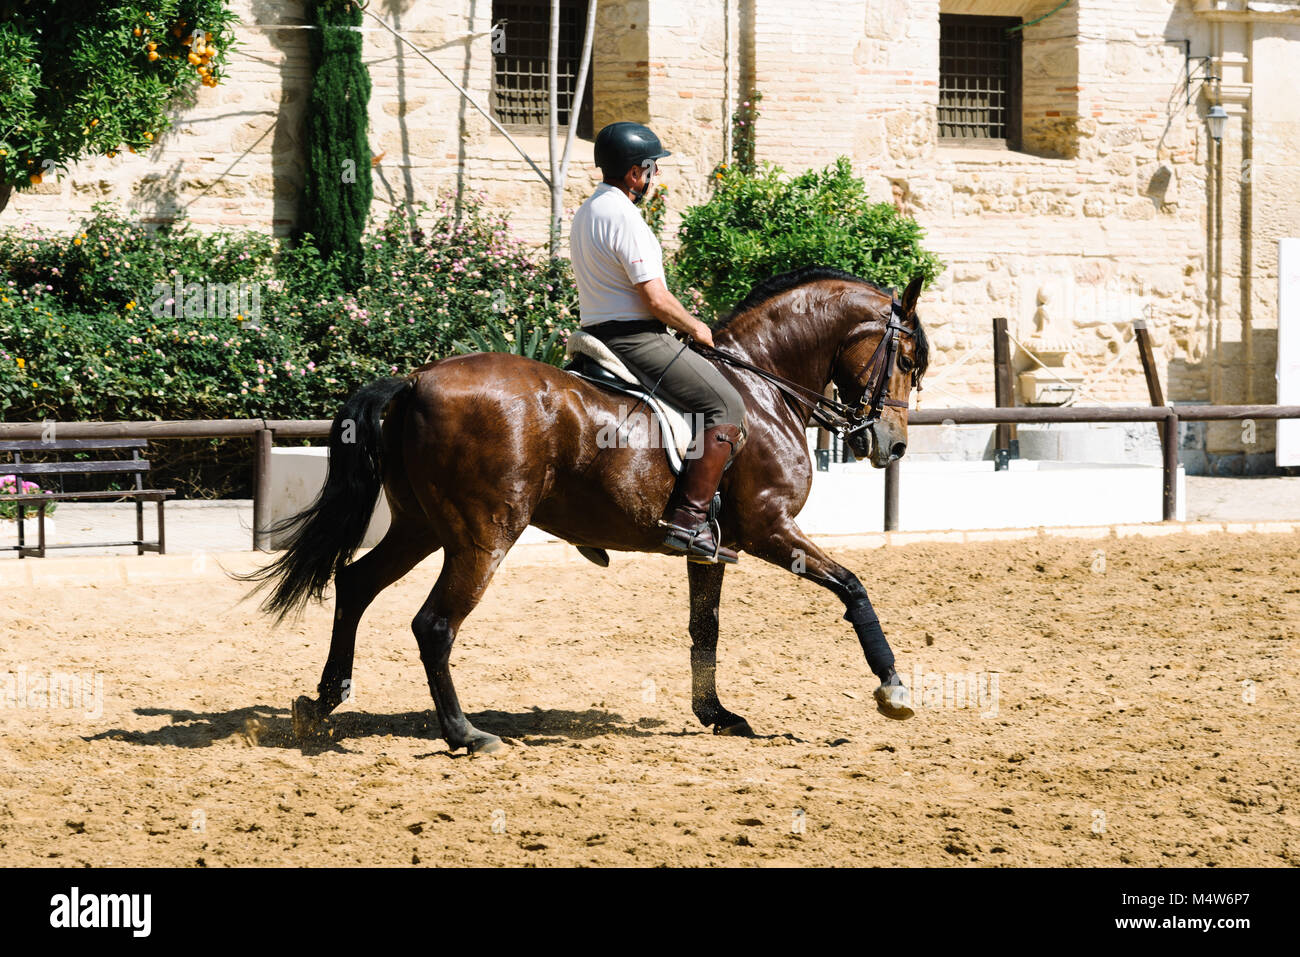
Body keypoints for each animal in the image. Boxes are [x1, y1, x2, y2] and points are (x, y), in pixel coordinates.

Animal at [242, 265, 930, 754]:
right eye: (906, 360)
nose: (893, 445)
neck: (763, 386)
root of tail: (414, 380)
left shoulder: (715, 547)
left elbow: (704, 628)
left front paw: (715, 714)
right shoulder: (771, 529)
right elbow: (853, 586)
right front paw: (893, 688)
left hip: (420, 527)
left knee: (356, 584)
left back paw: (324, 700)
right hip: (482, 536)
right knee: (433, 625)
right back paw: (466, 734)